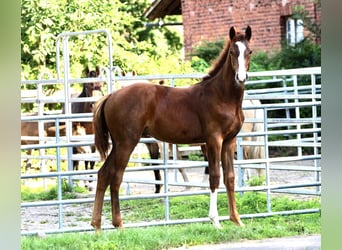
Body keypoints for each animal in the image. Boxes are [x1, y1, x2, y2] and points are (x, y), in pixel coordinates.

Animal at [90, 25, 251, 230]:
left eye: (249, 52)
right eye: (232, 52)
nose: (241, 78)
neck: (222, 96)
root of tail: (110, 96)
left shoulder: (229, 141)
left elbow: (229, 178)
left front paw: (237, 220)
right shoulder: (213, 140)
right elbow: (215, 177)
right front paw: (215, 221)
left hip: (118, 145)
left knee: (103, 174)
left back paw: (97, 225)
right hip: (126, 143)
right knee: (116, 177)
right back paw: (118, 224)